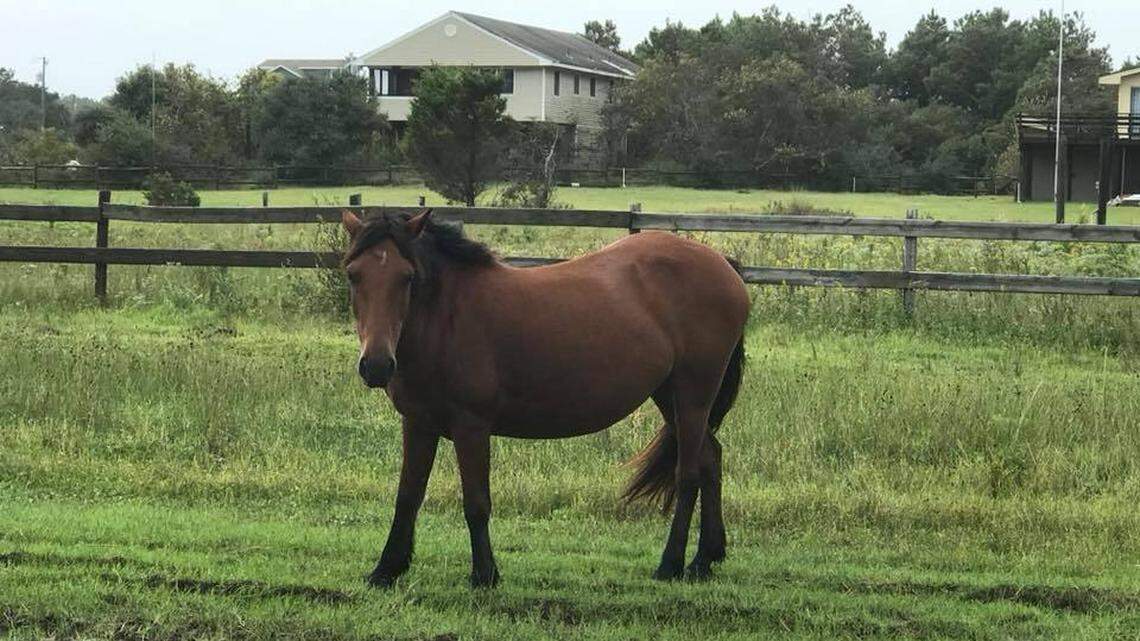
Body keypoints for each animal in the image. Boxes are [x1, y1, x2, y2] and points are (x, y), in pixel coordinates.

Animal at [340, 209, 749, 587]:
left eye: (407, 277)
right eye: (353, 275)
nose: (376, 365)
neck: (447, 317)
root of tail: (724, 266)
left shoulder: (471, 427)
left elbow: (476, 502)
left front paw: (485, 574)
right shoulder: (418, 423)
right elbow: (408, 495)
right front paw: (387, 569)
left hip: (693, 395)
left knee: (689, 475)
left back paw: (671, 564)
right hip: (669, 397)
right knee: (711, 459)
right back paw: (705, 559)